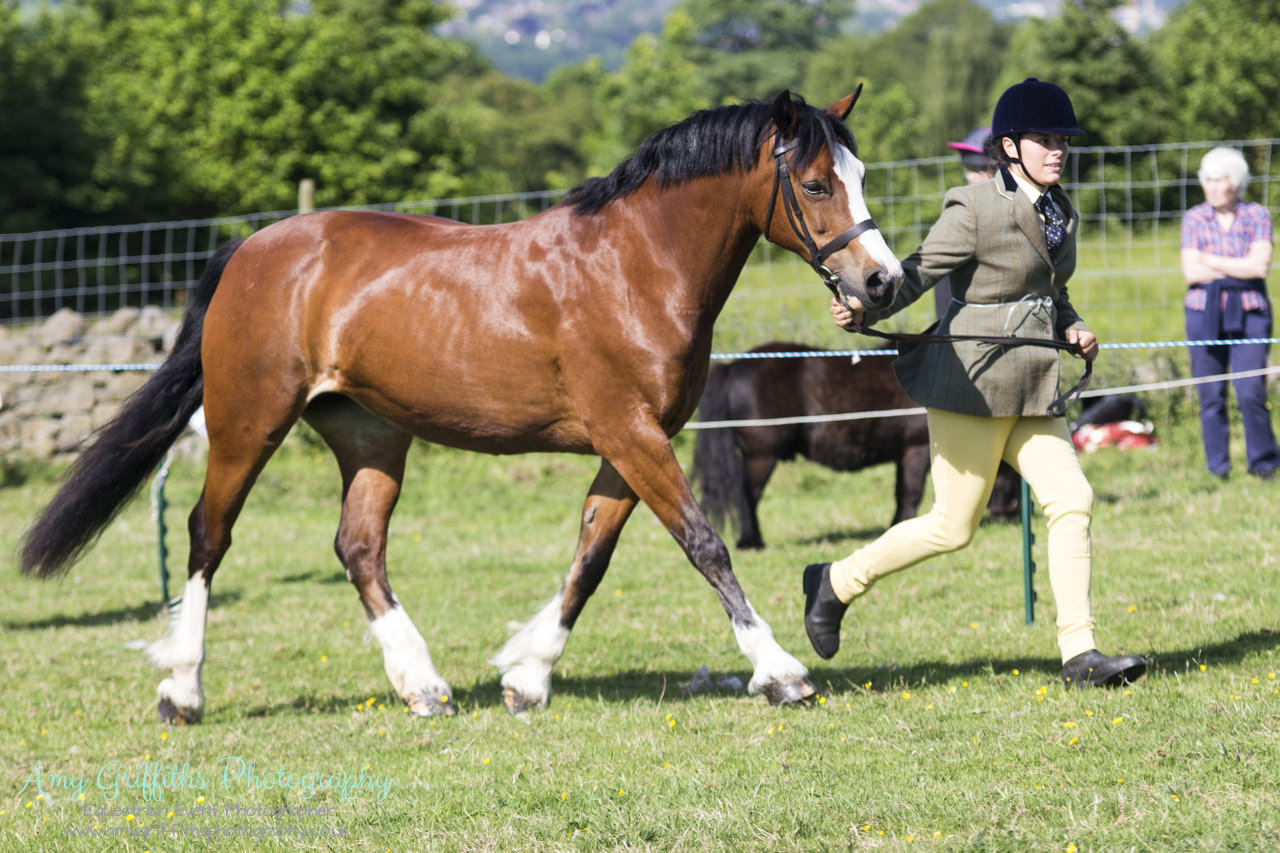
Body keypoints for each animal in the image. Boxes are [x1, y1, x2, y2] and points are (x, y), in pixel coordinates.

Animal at [691, 343, 1018, 548]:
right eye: (1012, 475)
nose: (1009, 517)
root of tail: (734, 366)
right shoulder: (916, 452)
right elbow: (910, 493)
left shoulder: (903, 456)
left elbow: (901, 493)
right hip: (762, 457)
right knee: (747, 495)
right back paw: (752, 542)